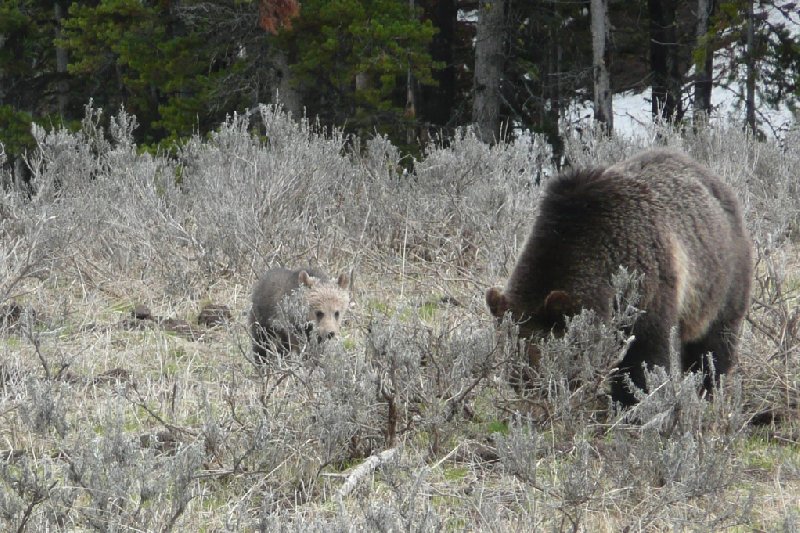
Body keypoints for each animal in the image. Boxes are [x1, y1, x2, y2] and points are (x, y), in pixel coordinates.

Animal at [484, 148, 752, 406]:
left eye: (543, 367)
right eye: (514, 374)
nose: (533, 404)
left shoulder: (648, 286)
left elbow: (644, 357)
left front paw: (633, 400)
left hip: (722, 279)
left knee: (713, 346)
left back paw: (707, 390)